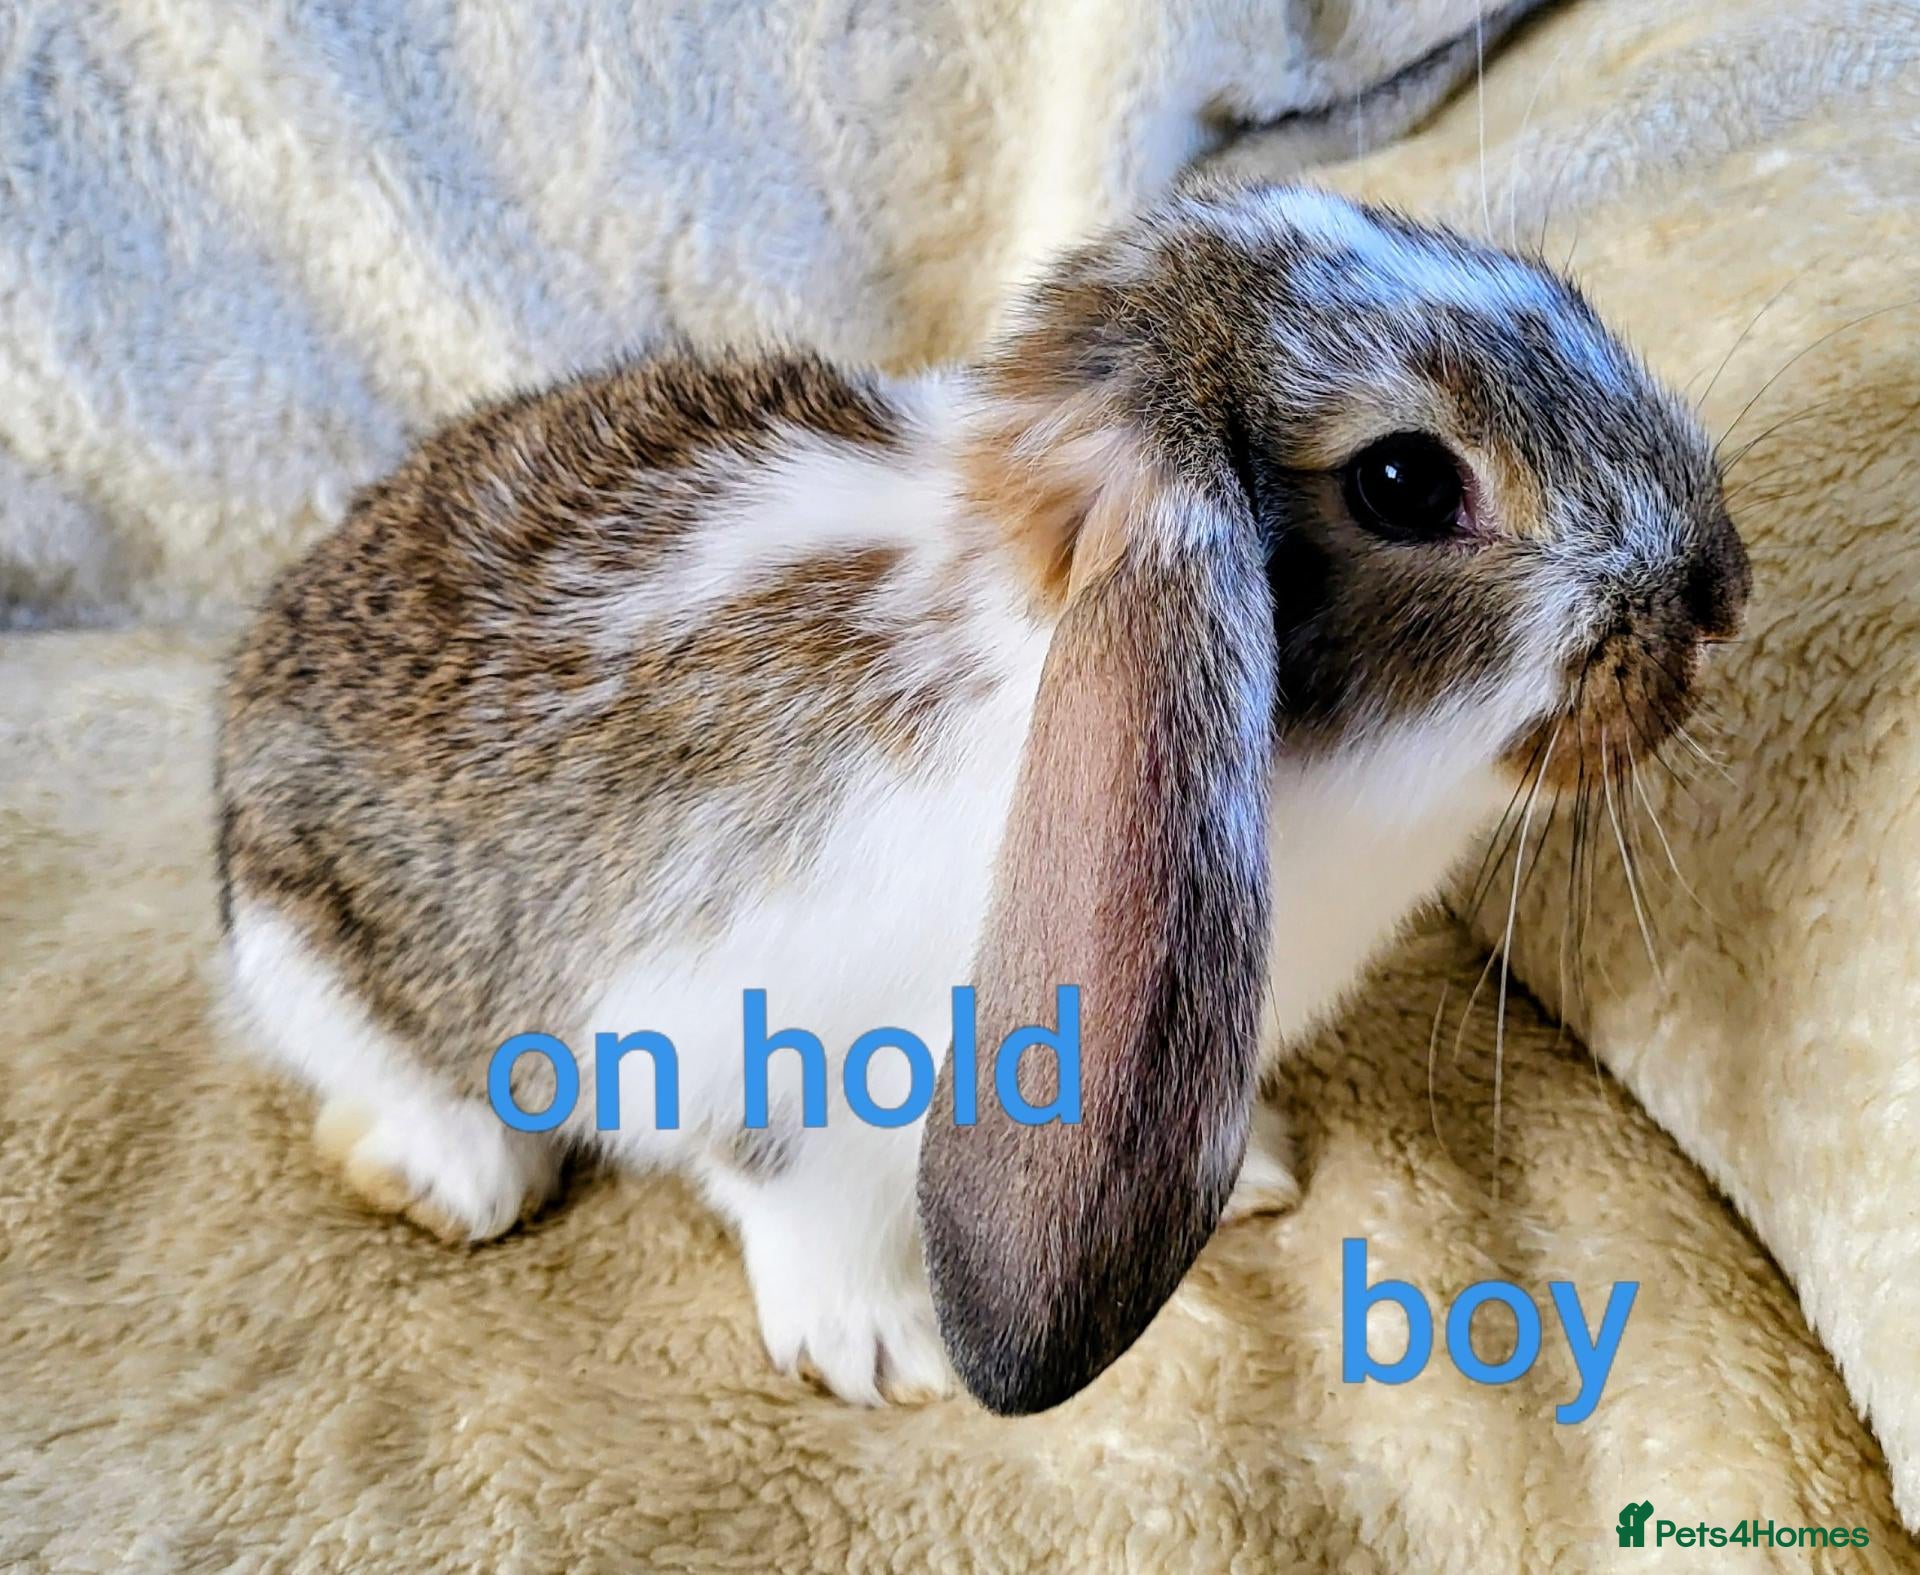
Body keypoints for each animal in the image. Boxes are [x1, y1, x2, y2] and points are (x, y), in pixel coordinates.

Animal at [216, 178, 1749, 1416]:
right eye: (1404, 480)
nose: (1721, 590)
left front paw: (1253, 1172)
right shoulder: (742, 1043)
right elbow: (799, 1203)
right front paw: (882, 1349)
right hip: (309, 951)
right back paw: (449, 1174)